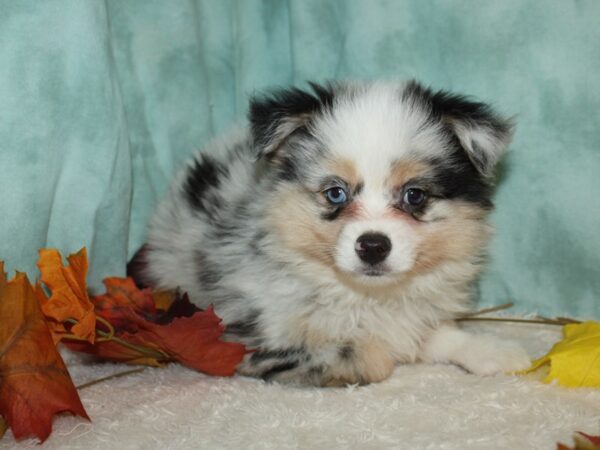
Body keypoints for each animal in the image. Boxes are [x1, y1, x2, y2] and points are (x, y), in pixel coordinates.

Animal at [130, 81, 528, 386]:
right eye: (335, 193)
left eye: (414, 195)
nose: (372, 246)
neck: (367, 296)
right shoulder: (248, 337)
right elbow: (373, 355)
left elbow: (435, 332)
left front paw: (496, 352)